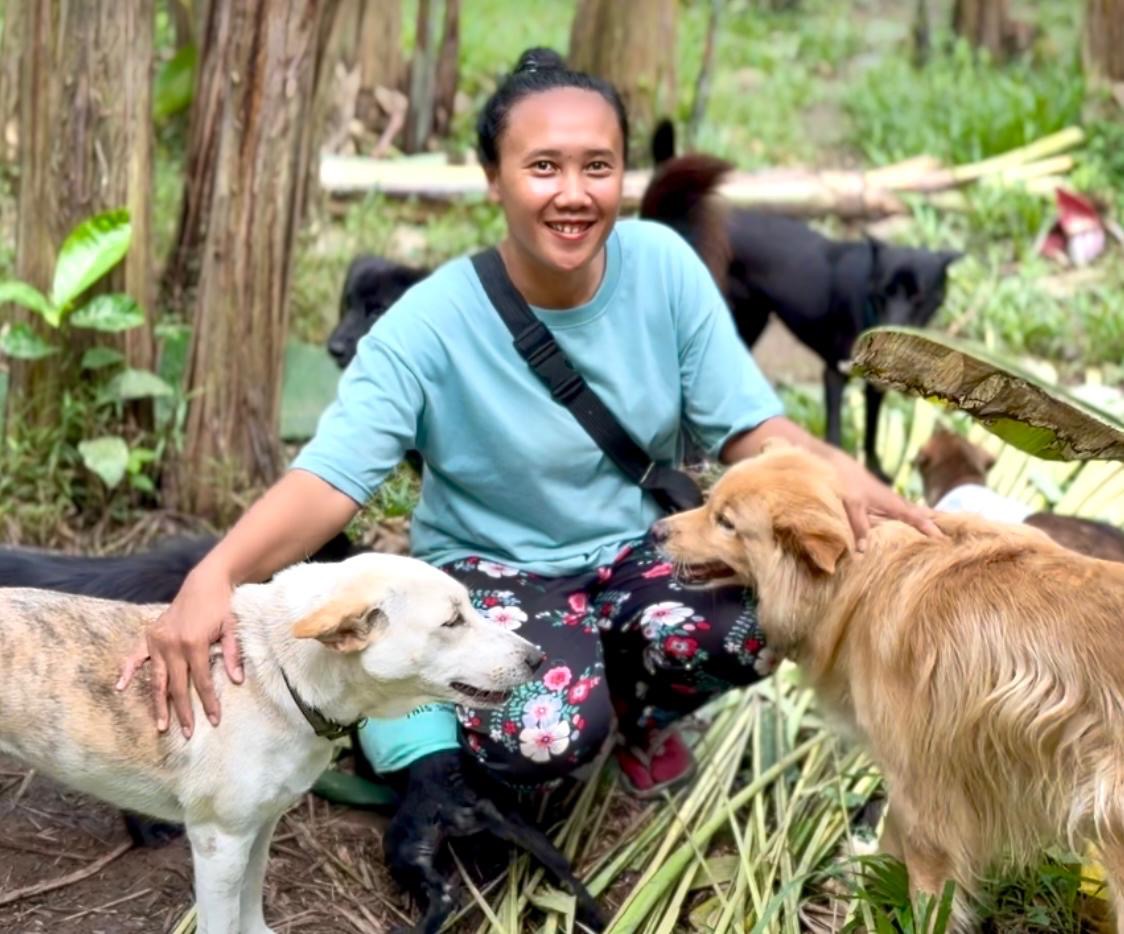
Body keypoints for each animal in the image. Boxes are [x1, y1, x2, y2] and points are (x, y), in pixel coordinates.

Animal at [0, 552, 545, 934]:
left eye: (469, 608)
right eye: (452, 621)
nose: (537, 657)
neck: (278, 676)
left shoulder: (260, 827)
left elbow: (251, 905)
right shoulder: (218, 843)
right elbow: (222, 922)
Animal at [641, 120, 962, 481]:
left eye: (918, 298)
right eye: (882, 295)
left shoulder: (874, 386)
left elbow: (870, 431)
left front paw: (876, 470)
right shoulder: (834, 373)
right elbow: (835, 435)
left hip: (750, 322)